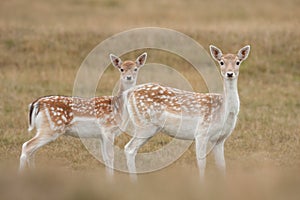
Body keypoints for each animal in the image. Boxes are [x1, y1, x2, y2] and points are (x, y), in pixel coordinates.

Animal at [18, 52, 148, 175]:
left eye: (135, 68)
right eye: (121, 69)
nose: (129, 77)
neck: (119, 108)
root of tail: (36, 103)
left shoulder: (101, 135)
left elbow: (105, 158)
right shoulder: (108, 129)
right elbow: (111, 157)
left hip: (44, 128)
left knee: (32, 151)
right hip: (51, 128)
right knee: (26, 146)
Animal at [120, 45, 251, 180]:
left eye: (238, 62)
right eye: (221, 62)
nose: (230, 73)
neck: (223, 111)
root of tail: (128, 93)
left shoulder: (220, 139)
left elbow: (222, 165)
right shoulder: (201, 133)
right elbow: (201, 163)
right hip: (144, 125)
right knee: (129, 148)